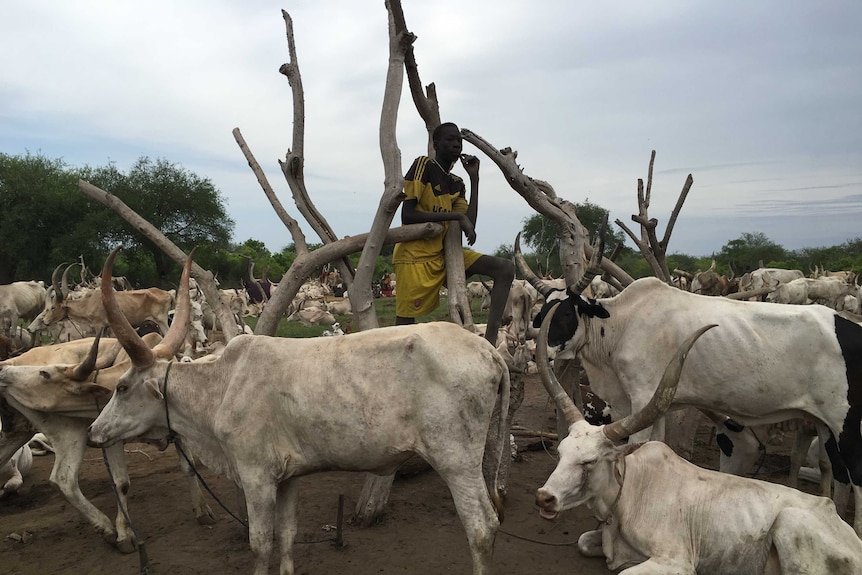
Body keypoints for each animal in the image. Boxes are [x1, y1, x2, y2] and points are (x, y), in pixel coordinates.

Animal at [82, 250, 512, 575]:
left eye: (122, 388)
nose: (93, 432)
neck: (221, 386)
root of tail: (488, 350)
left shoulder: (255, 477)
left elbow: (260, 544)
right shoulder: (288, 477)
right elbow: (287, 538)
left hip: (456, 461)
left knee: (482, 527)